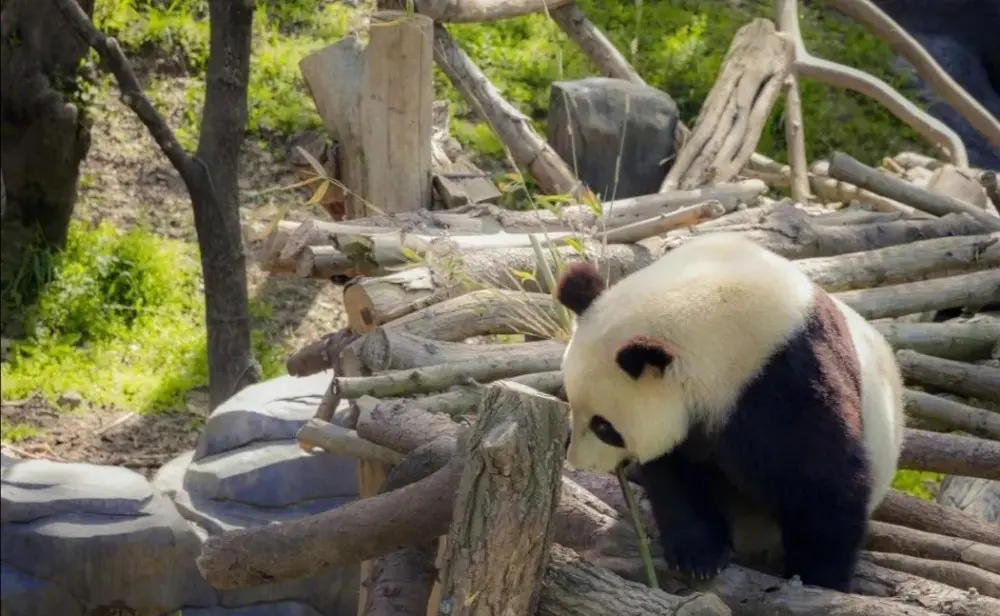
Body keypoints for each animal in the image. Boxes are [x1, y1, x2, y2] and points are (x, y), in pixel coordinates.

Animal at [556, 231, 908, 592]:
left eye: (604, 427)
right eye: (570, 400)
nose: (579, 462)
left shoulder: (783, 382)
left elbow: (823, 483)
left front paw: (820, 579)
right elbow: (676, 474)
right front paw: (698, 556)